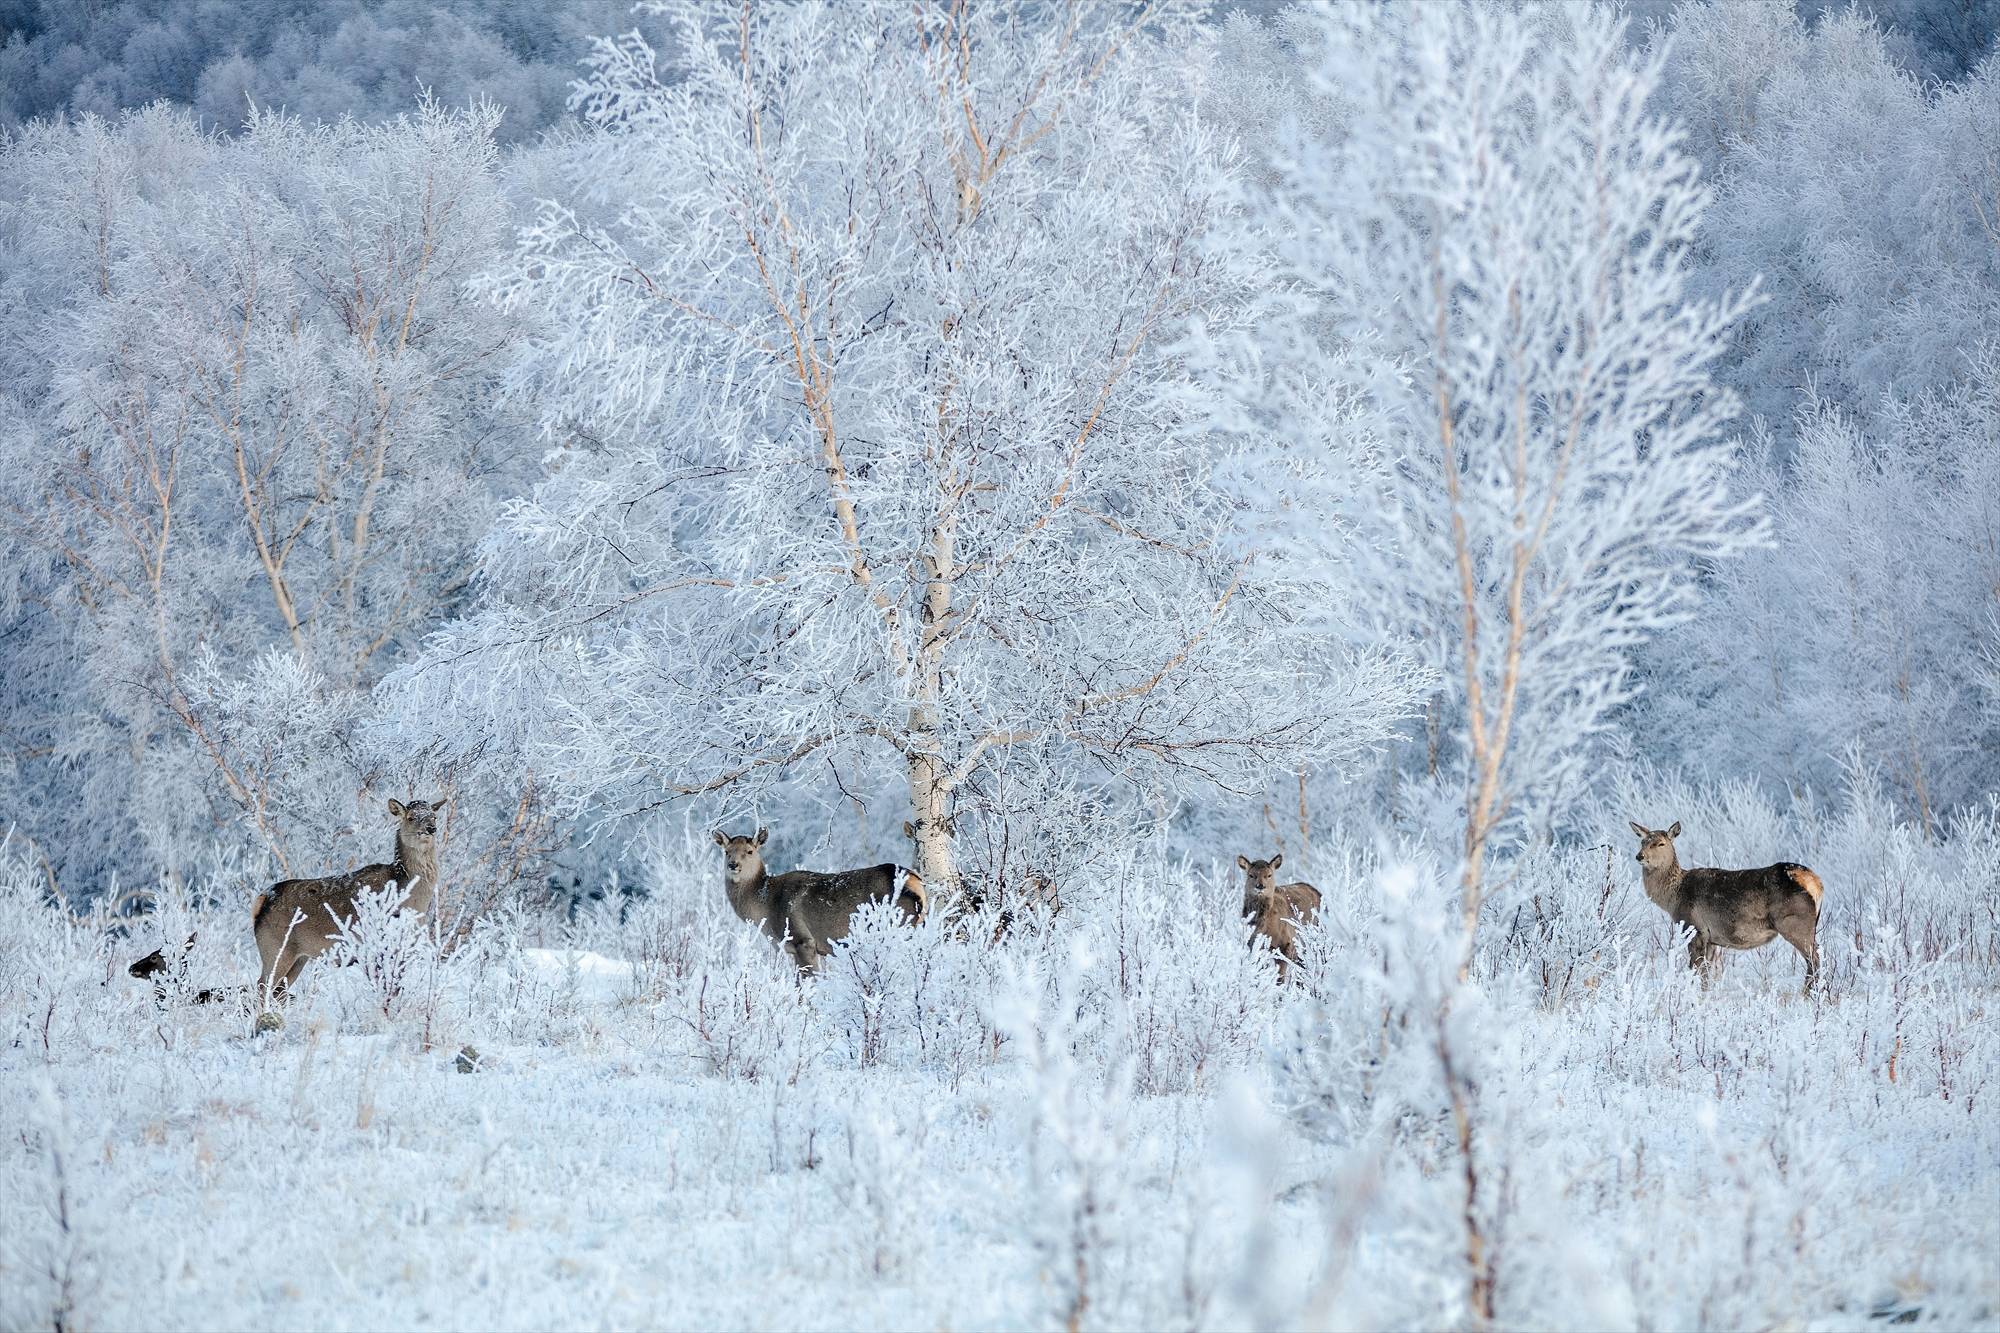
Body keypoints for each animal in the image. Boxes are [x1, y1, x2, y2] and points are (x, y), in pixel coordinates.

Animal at [254, 788, 450, 996]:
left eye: (434, 816)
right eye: (411, 817)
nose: (430, 828)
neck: (413, 900)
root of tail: (262, 899)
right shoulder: (378, 945)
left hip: (299, 957)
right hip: (276, 948)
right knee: (261, 987)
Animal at [716, 820, 924, 964]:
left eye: (750, 851)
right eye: (726, 851)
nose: (733, 865)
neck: (765, 908)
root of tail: (914, 881)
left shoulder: (802, 940)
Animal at [1624, 816, 1832, 992]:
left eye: (1661, 843)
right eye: (1642, 841)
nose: (1640, 856)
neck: (1672, 898)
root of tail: (1816, 882)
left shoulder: (1694, 928)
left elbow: (1696, 971)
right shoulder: (1710, 938)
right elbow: (1706, 973)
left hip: (1794, 922)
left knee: (1814, 958)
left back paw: (1808, 995)